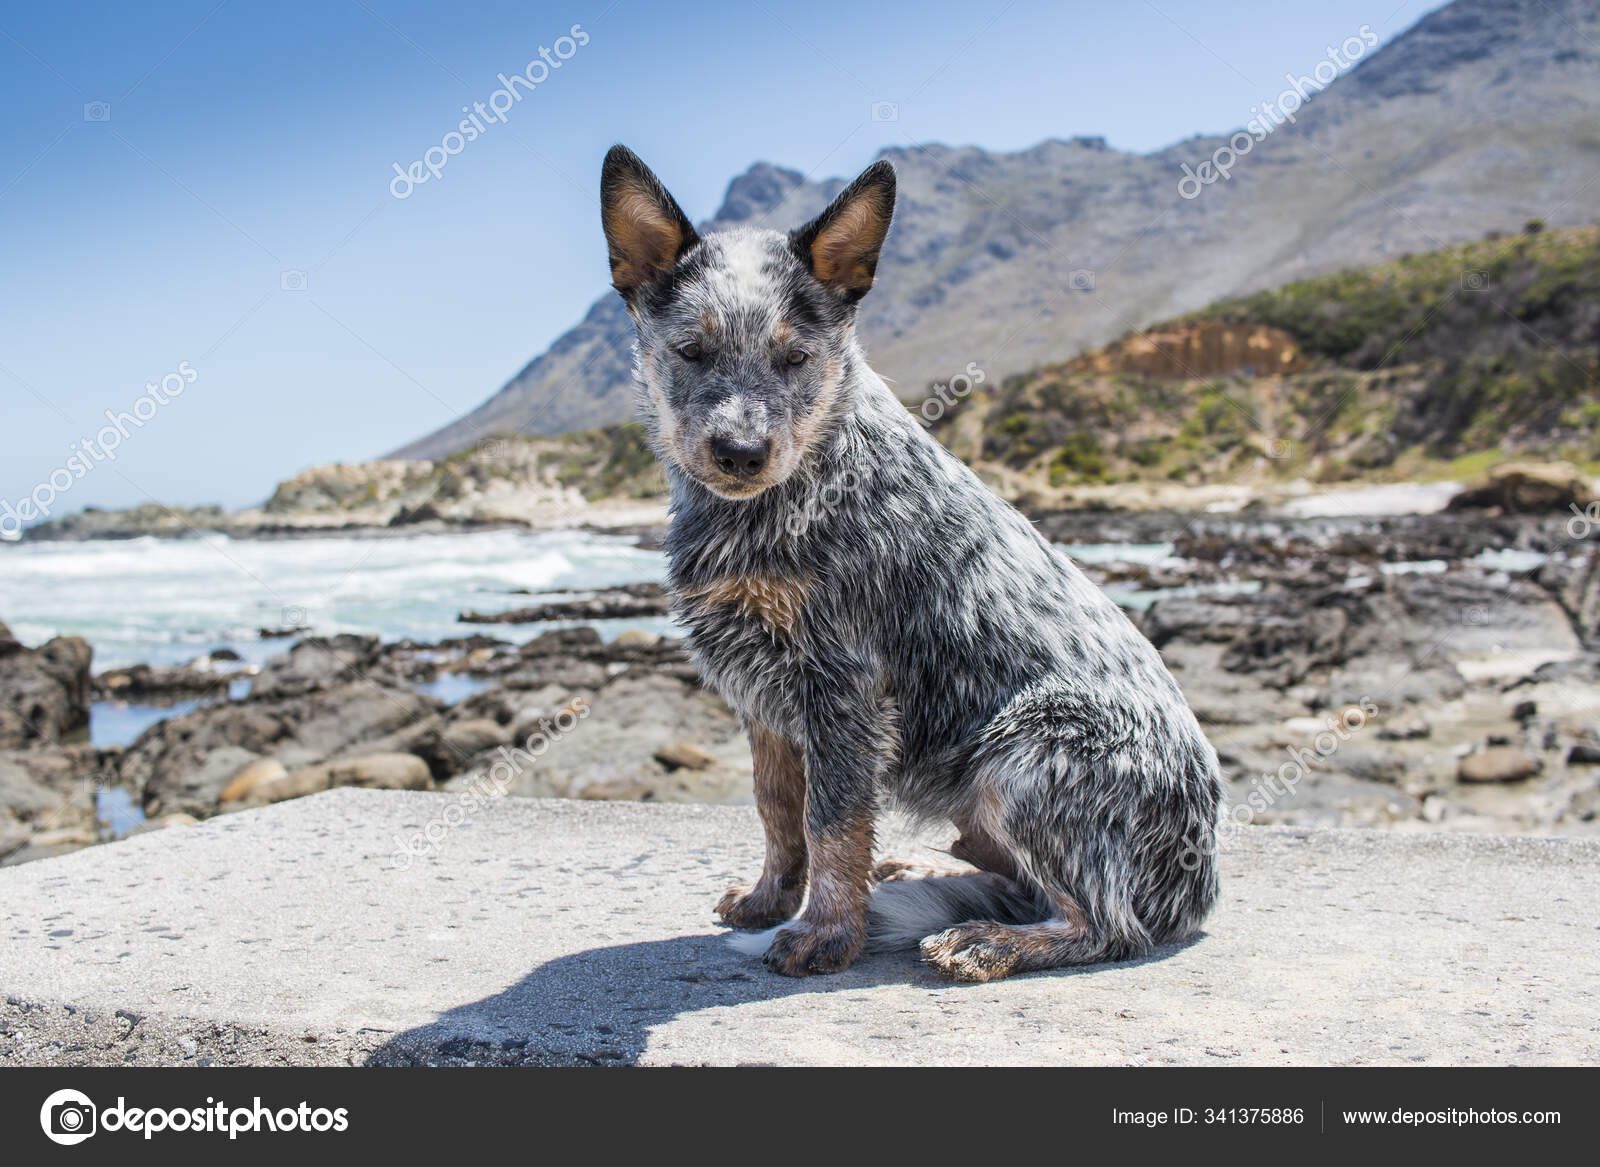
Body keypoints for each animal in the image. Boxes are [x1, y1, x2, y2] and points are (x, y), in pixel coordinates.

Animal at [601, 145, 1222, 986]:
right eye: (690, 350)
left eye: (796, 357)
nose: (740, 452)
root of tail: (1203, 884)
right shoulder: (761, 693)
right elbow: (776, 811)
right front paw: (769, 899)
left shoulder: (843, 686)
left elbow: (831, 821)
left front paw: (826, 932)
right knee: (1017, 881)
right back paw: (929, 876)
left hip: (1026, 751)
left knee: (1105, 923)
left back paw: (987, 940)